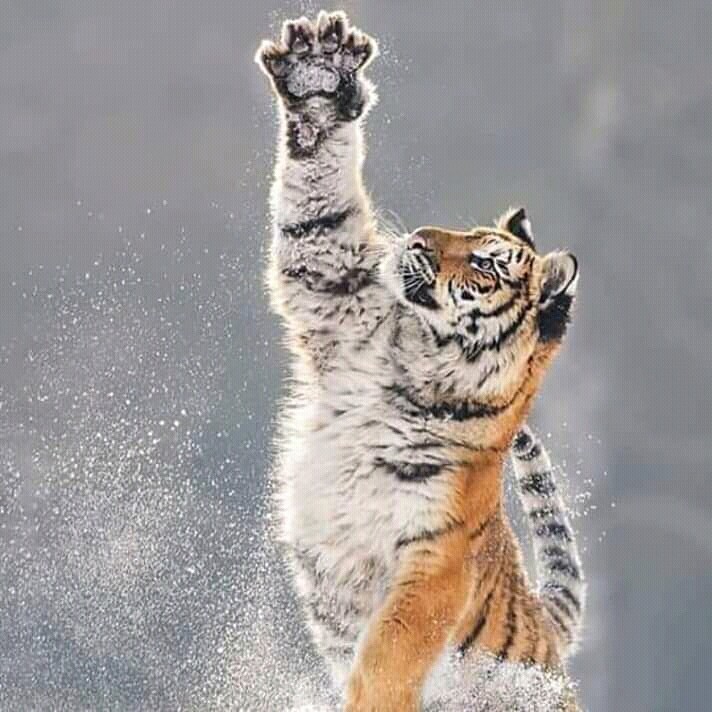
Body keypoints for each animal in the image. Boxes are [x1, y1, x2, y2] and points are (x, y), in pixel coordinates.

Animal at [255, 11, 586, 712]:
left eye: (485, 260)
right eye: (463, 234)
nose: (416, 239)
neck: (415, 366)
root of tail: (546, 627)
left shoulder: (435, 561)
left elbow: (392, 649)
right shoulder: (334, 292)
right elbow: (317, 219)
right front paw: (318, 73)